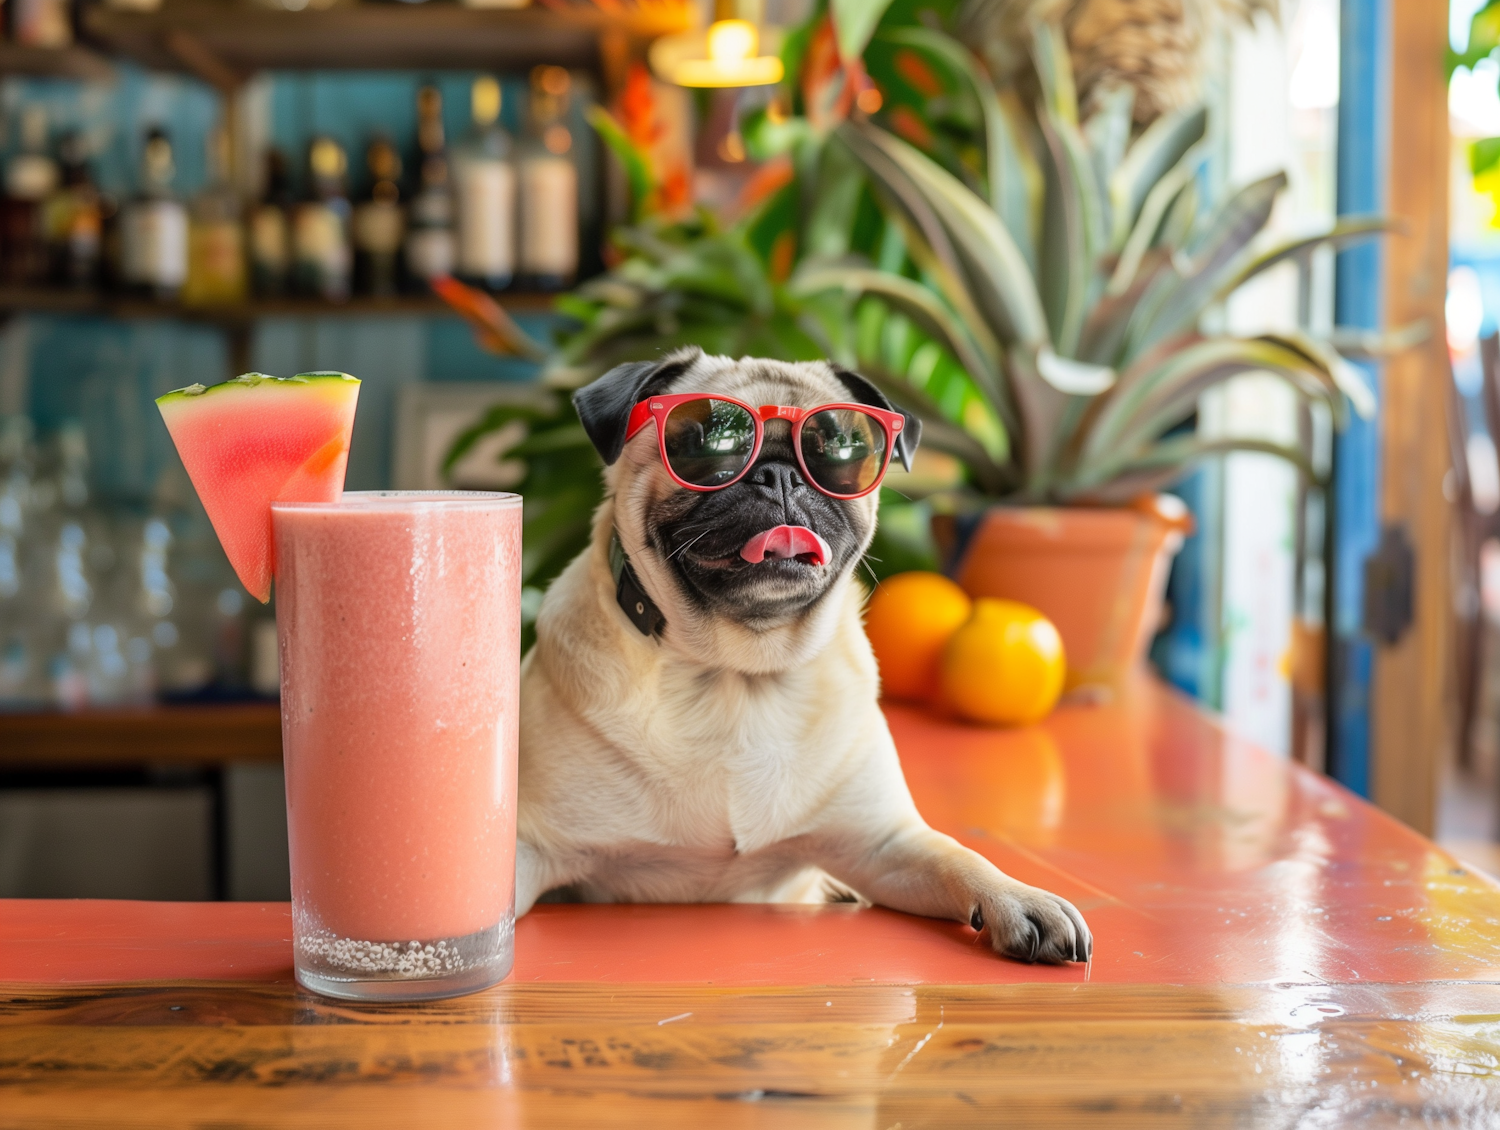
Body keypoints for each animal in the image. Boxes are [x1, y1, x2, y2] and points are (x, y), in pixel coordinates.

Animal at [516, 346, 1092, 960]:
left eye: (840, 451)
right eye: (702, 446)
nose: (780, 474)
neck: (738, 674)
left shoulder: (883, 846)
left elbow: (958, 856)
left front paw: (1019, 897)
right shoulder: (532, 847)